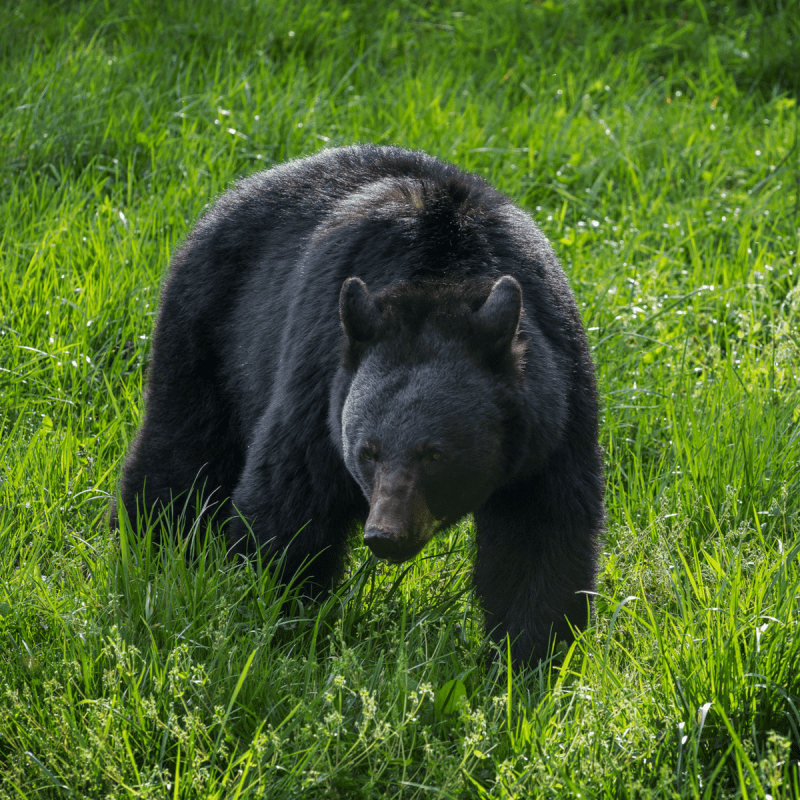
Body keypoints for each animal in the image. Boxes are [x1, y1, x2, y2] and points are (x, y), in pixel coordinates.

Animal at [119, 145, 604, 668]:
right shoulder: (319, 382)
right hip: (208, 329)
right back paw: (147, 549)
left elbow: (540, 535)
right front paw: (276, 624)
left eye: (435, 454)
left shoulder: (553, 413)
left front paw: (528, 659)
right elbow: (291, 501)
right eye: (367, 452)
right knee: (182, 450)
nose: (385, 535)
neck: (442, 277)